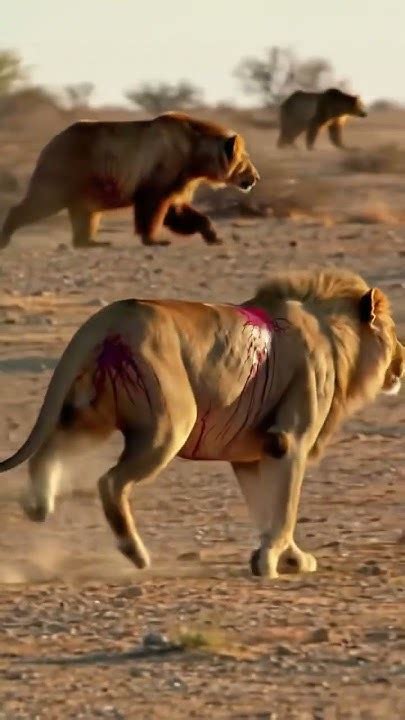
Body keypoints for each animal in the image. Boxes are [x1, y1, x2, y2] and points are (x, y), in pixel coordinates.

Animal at [0, 111, 259, 249]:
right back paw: (6, 234)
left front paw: (214, 235)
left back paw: (93, 241)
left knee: (85, 212)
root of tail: (50, 142)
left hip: (87, 183)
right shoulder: (162, 167)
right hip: (69, 169)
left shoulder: (181, 178)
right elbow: (154, 205)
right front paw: (156, 239)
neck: (193, 153)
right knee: (41, 201)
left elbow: (178, 210)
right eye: (246, 159)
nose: (255, 177)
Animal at [0, 268, 403, 579]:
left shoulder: (250, 453)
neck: (333, 334)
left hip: (90, 413)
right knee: (109, 482)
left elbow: (265, 507)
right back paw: (135, 552)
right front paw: (274, 561)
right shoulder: (289, 439)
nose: (402, 359)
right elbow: (285, 505)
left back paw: (39, 506)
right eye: (393, 331)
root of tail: (112, 315)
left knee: (47, 450)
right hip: (171, 423)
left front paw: (286, 557)